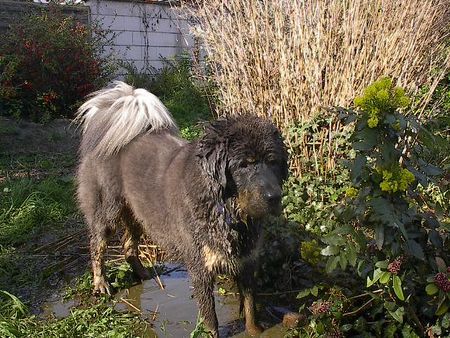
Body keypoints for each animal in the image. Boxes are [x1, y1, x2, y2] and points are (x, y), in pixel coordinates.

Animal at [75, 80, 288, 336]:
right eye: (245, 164)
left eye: (273, 162)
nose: (274, 196)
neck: (225, 211)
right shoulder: (200, 268)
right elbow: (210, 319)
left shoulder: (247, 262)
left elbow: (249, 307)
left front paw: (255, 331)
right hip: (107, 213)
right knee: (97, 247)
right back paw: (101, 284)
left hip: (140, 215)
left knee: (128, 246)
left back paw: (143, 273)